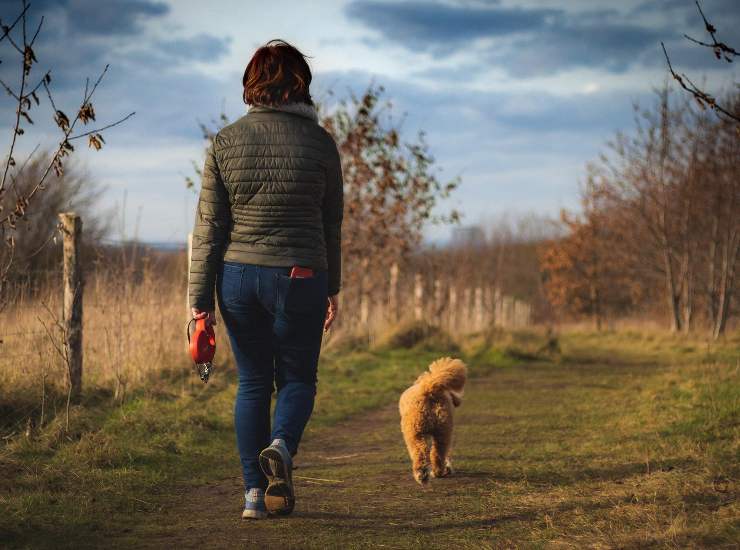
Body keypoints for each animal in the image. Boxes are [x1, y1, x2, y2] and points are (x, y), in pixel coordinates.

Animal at [402, 356, 466, 486]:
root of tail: (429, 389)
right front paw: (448, 468)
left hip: (414, 433)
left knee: (420, 453)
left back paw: (422, 474)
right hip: (443, 430)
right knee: (438, 453)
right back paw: (437, 472)